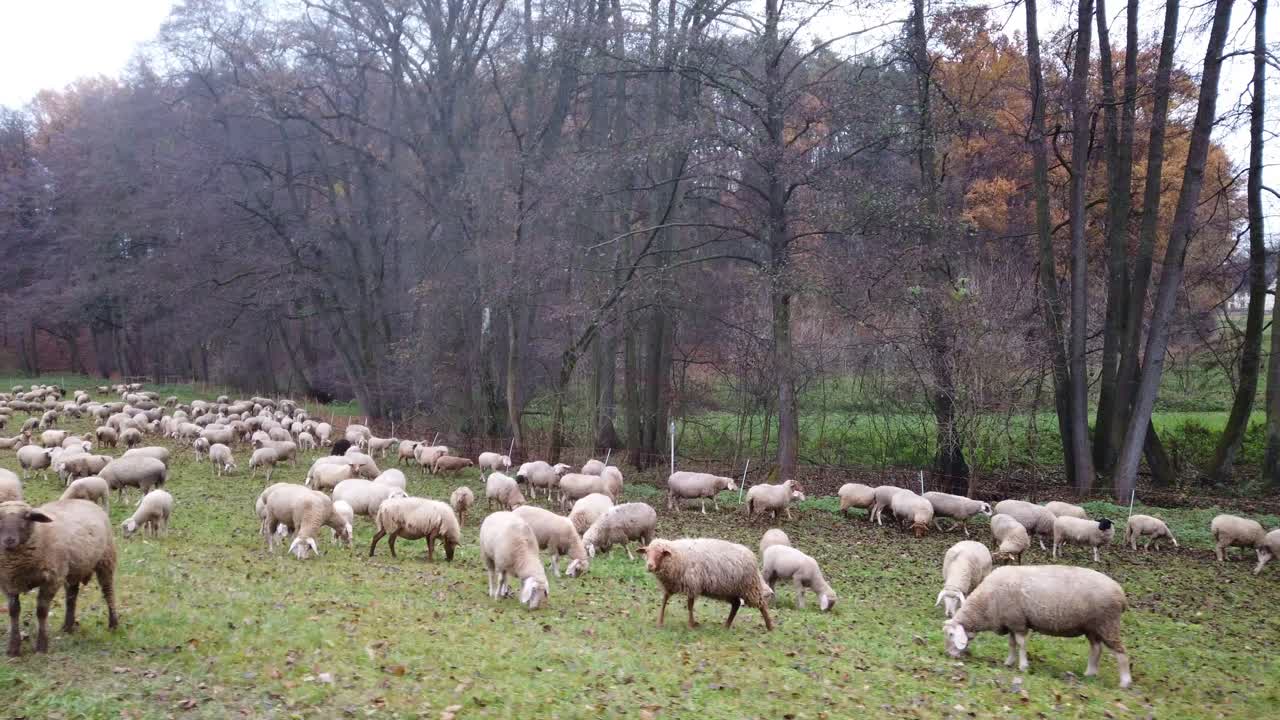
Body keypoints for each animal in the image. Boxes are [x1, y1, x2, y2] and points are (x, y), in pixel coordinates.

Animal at [0, 499, 120, 656]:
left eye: (26, 517)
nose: (9, 540)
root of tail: (85, 501)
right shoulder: (8, 582)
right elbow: (13, 611)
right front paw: (13, 648)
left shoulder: (52, 578)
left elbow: (41, 611)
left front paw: (41, 647)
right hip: (73, 569)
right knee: (72, 596)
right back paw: (67, 627)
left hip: (106, 559)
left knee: (108, 593)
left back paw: (113, 625)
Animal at [640, 538, 774, 631]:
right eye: (647, 552)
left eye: (660, 553)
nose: (649, 566)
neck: (677, 555)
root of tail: (752, 556)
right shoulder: (670, 585)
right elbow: (664, 601)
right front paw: (659, 622)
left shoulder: (692, 584)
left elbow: (689, 606)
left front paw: (691, 625)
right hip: (730, 590)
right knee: (736, 604)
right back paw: (726, 626)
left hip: (749, 587)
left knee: (762, 605)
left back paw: (770, 627)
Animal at [942, 565, 1131, 688]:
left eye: (951, 635)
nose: (949, 655)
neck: (986, 604)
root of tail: (1121, 594)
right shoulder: (1011, 622)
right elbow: (1011, 644)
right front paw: (1009, 662)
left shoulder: (1018, 622)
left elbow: (1021, 644)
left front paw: (1023, 666)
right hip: (1093, 627)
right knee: (1096, 649)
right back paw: (1089, 673)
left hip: (1108, 623)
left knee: (1120, 652)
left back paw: (1125, 682)